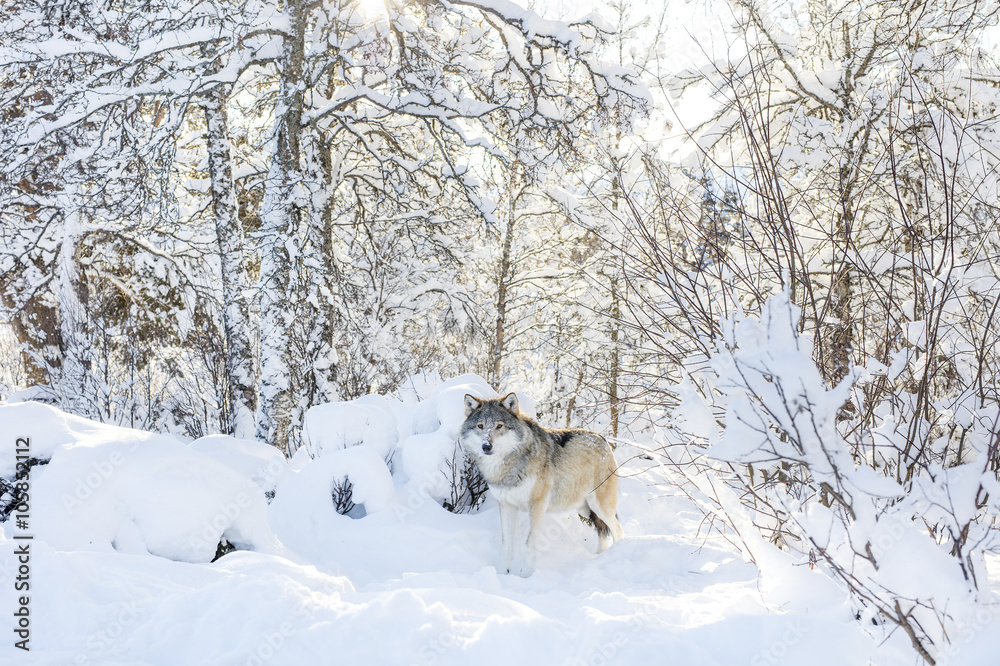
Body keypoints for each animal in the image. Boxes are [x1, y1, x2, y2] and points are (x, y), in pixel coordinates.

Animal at [459, 392, 624, 576]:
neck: (508, 468)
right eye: (480, 426)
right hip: (585, 509)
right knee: (603, 533)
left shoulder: (536, 506)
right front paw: (502, 573)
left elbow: (529, 544)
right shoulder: (506, 505)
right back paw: (599, 556)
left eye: (499, 426)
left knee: (618, 530)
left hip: (599, 506)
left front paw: (524, 576)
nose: (486, 446)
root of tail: (603, 440)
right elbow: (506, 543)